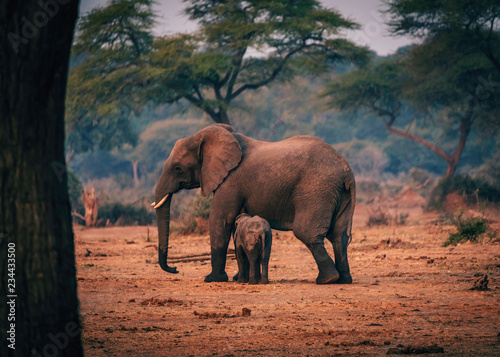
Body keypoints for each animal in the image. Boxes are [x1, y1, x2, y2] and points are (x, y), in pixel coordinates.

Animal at [153, 124, 356, 282]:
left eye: (178, 168)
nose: (175, 269)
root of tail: (347, 170)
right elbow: (235, 224)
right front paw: (237, 278)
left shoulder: (230, 181)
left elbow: (220, 220)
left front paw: (213, 279)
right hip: (338, 193)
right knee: (339, 236)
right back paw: (343, 280)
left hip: (316, 190)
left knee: (306, 232)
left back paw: (327, 280)